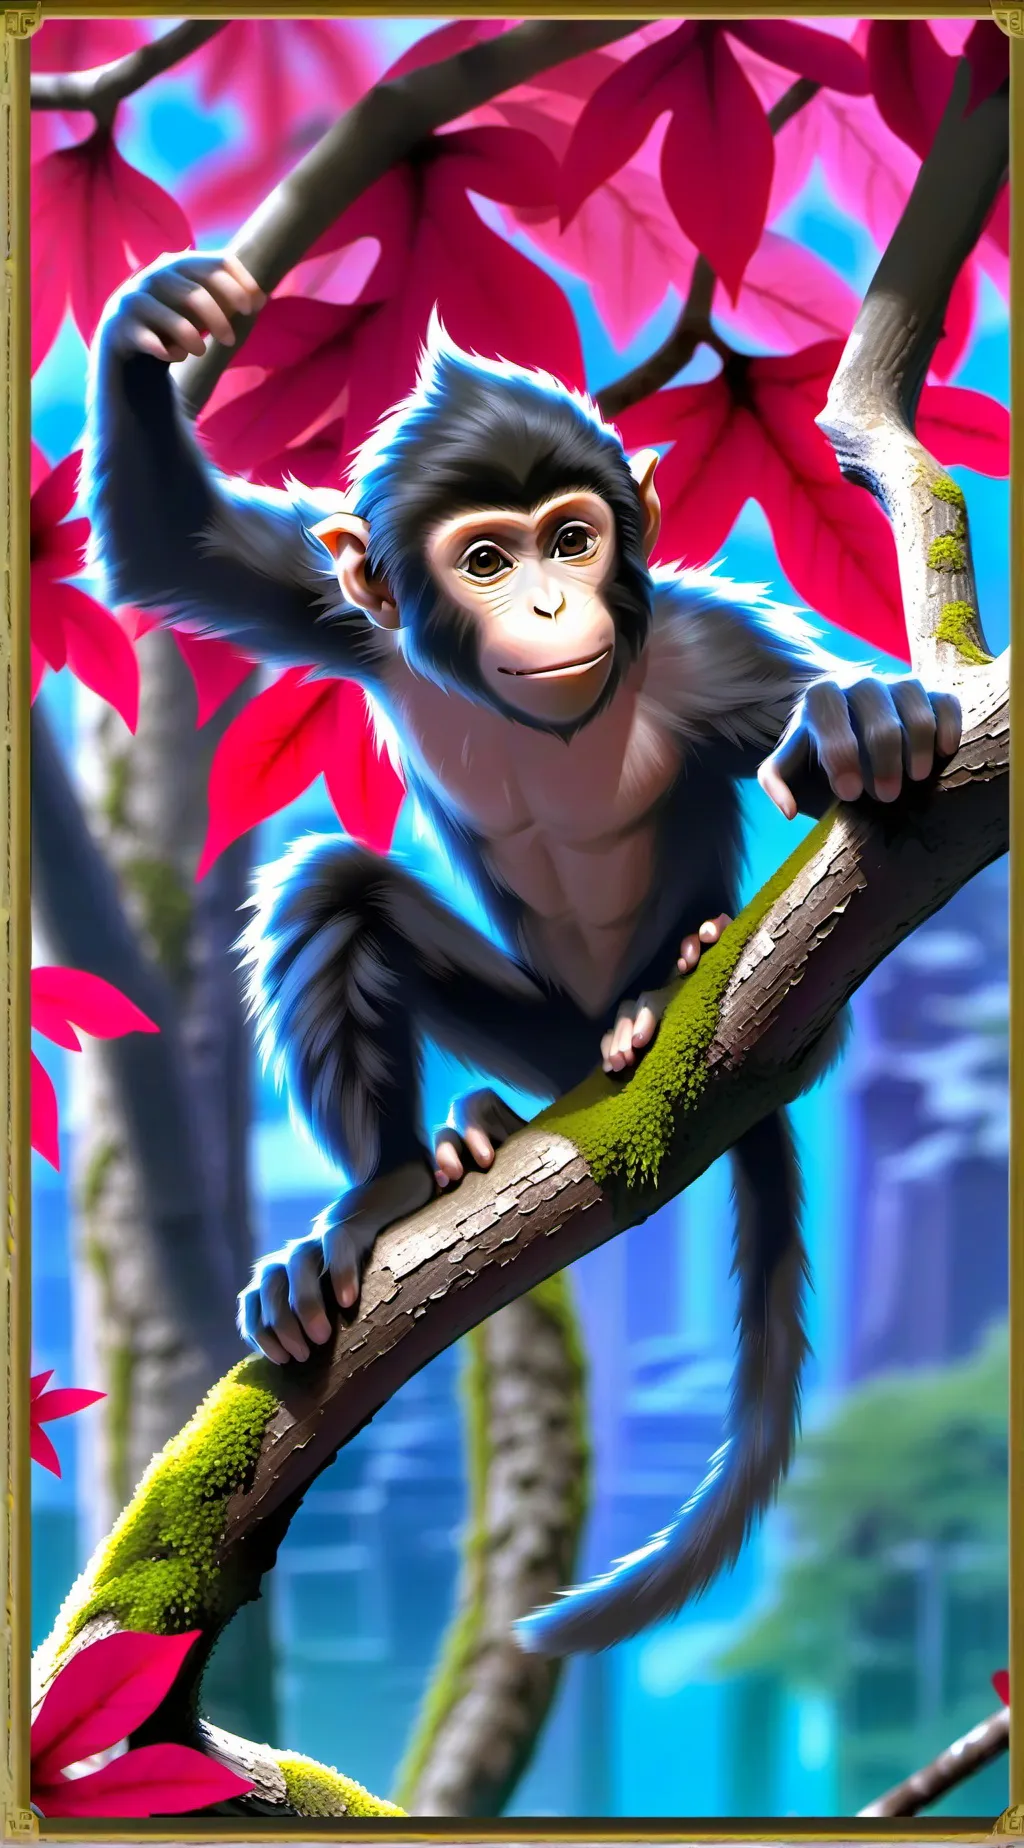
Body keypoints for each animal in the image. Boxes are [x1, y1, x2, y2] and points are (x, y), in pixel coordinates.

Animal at [81, 250, 962, 1658]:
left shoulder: (705, 656)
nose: (549, 602)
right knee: (337, 898)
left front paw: (865, 719)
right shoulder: (352, 618)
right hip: (537, 1028)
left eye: (573, 538)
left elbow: (798, 710)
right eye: (486, 558)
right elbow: (194, 553)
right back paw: (402, 1180)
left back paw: (673, 976)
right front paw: (156, 327)